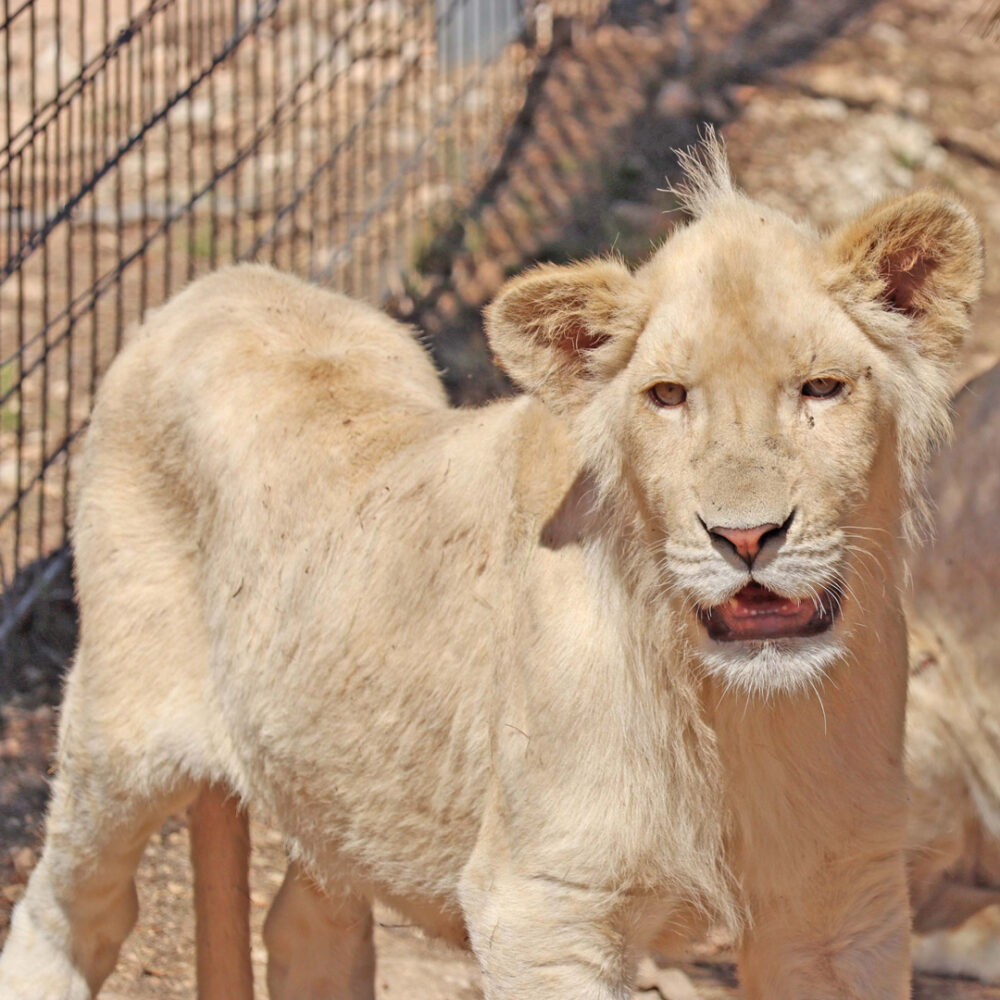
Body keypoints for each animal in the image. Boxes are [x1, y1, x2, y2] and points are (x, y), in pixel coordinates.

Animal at [0, 136, 984, 1000]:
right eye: (667, 396)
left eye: (822, 388)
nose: (745, 538)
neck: (735, 716)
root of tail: (218, 282)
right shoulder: (543, 911)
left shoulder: (840, 907)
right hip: (116, 745)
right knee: (69, 910)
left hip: (338, 768)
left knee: (304, 920)